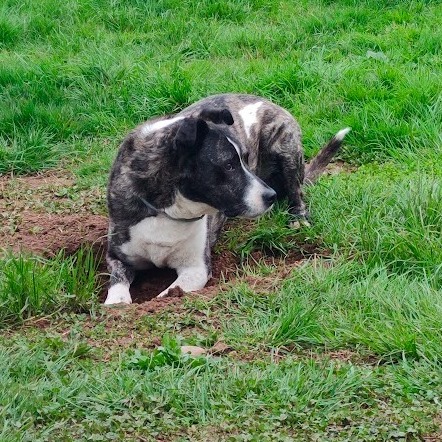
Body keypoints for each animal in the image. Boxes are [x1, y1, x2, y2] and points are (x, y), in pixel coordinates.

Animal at [104, 93, 350, 305]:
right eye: (229, 165)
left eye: (246, 158)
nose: (270, 196)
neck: (164, 211)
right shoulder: (117, 256)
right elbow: (117, 283)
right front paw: (116, 304)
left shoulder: (196, 268)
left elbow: (172, 291)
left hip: (285, 147)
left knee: (296, 192)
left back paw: (298, 217)